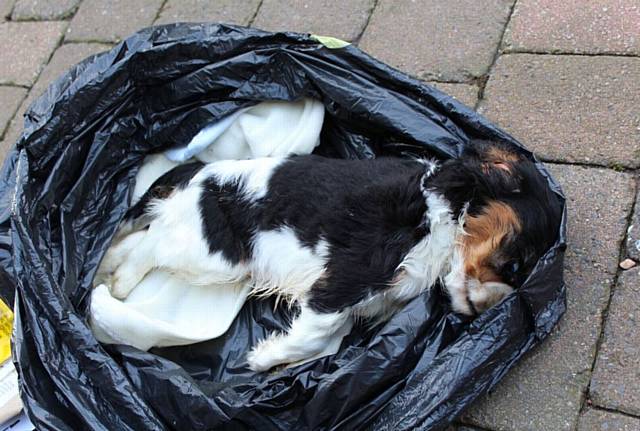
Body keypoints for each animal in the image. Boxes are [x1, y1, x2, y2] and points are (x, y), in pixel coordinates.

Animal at [97, 141, 564, 372]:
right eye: (514, 265)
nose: (492, 307)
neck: (450, 207)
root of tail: (198, 173)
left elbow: (329, 337)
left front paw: (272, 358)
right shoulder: (349, 277)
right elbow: (316, 332)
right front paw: (262, 359)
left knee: (143, 234)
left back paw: (106, 270)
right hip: (217, 253)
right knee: (152, 244)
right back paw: (118, 285)